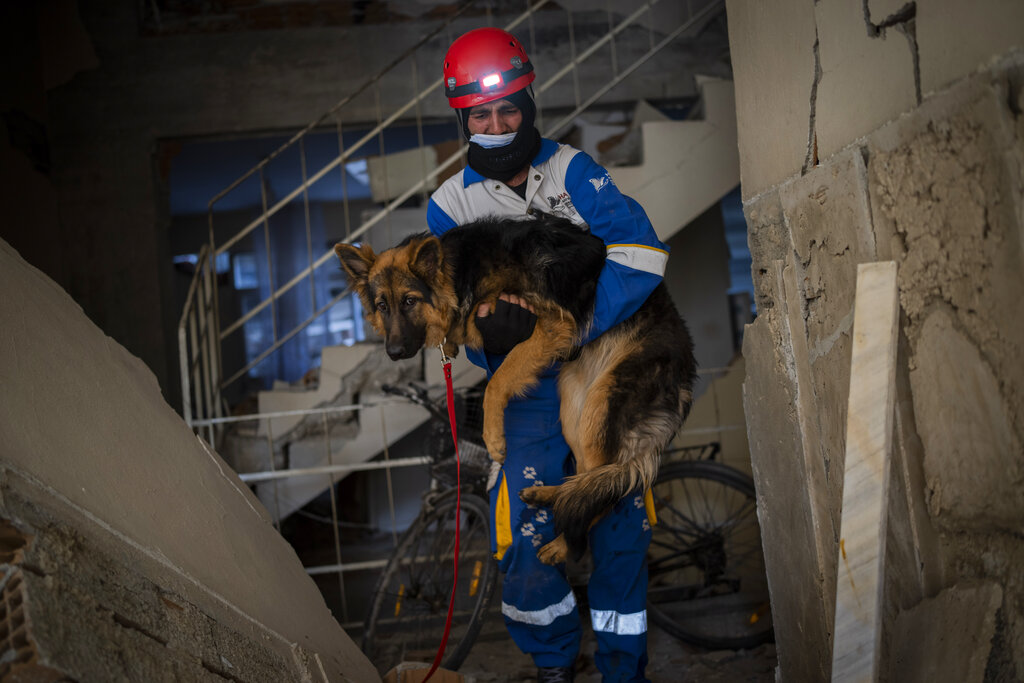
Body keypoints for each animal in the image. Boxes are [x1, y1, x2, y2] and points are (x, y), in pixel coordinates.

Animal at [335, 215, 696, 565]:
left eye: (409, 301)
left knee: (600, 495)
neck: (461, 273)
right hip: (574, 407)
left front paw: (493, 439)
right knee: (586, 481)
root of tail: (686, 371)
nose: (394, 352)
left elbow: (497, 381)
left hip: (600, 407)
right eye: (382, 306)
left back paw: (562, 546)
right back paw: (551, 494)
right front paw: (449, 341)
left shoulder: (548, 325)